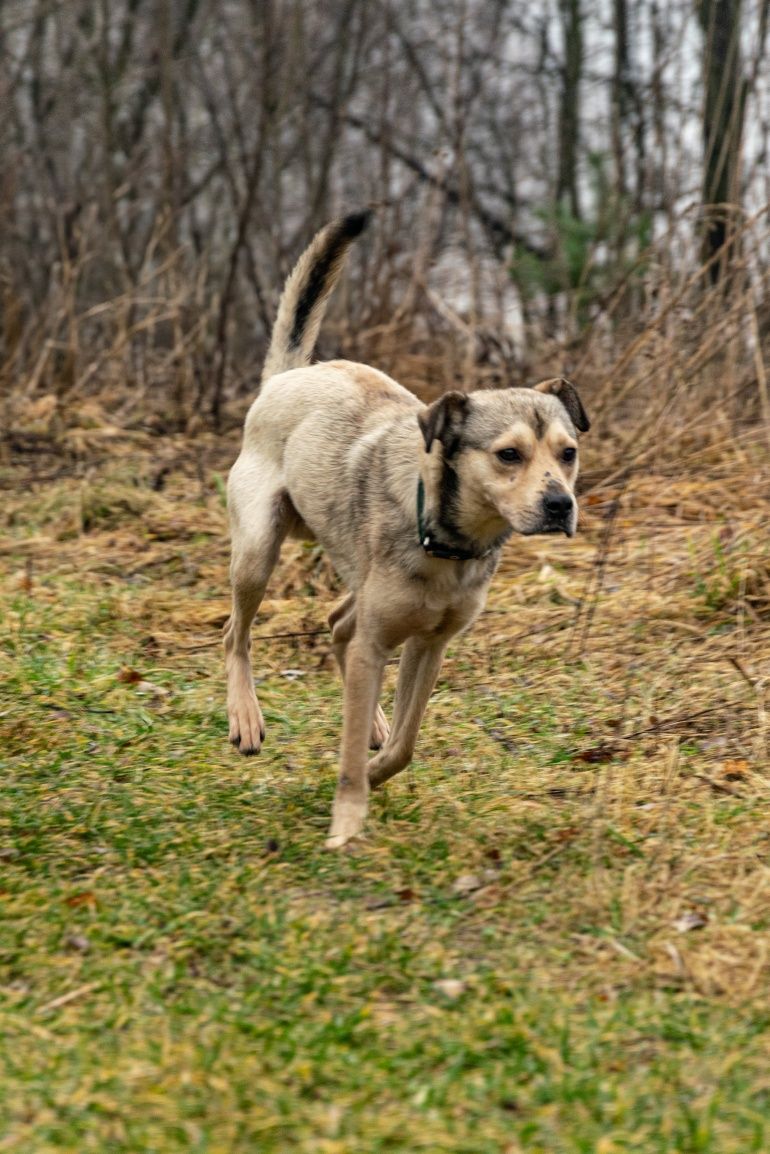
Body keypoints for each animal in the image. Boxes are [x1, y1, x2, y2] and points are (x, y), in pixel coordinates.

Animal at [222, 212, 591, 849]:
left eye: (567, 453)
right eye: (509, 455)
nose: (558, 505)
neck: (448, 543)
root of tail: (290, 376)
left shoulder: (430, 645)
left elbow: (405, 744)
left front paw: (375, 767)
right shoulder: (379, 642)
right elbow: (350, 750)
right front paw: (347, 823)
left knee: (336, 624)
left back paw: (368, 720)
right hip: (259, 548)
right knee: (236, 634)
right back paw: (245, 715)